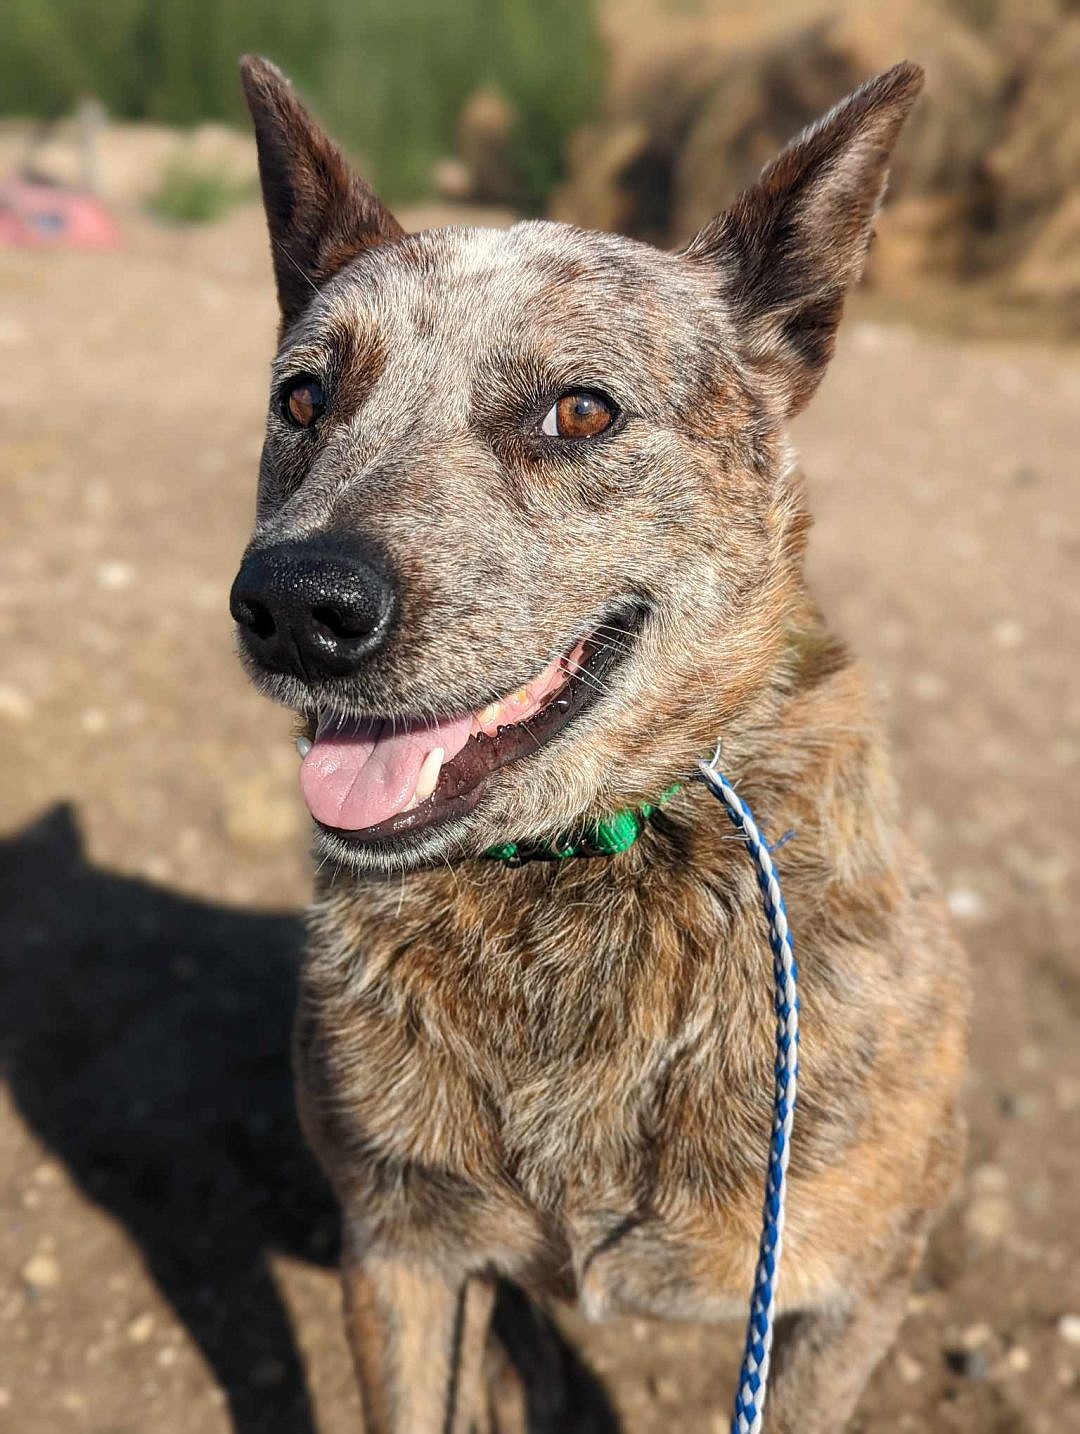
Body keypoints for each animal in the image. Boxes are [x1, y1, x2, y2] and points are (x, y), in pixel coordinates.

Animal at [229, 55, 969, 1434]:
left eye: (579, 412)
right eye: (303, 398)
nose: (294, 605)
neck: (584, 863)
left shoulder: (851, 1295)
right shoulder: (400, 1252)